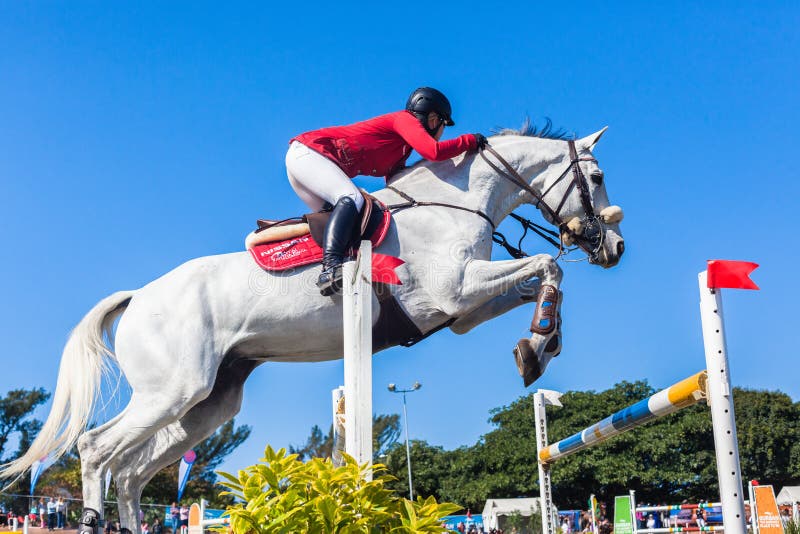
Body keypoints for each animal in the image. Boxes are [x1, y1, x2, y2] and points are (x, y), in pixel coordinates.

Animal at [0, 124, 624, 532]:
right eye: (595, 176)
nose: (613, 246)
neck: (453, 204)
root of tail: (140, 296)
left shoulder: (462, 311)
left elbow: (542, 276)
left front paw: (539, 345)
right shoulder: (456, 292)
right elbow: (548, 265)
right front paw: (541, 339)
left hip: (206, 403)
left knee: (130, 472)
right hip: (172, 390)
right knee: (96, 449)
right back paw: (90, 517)